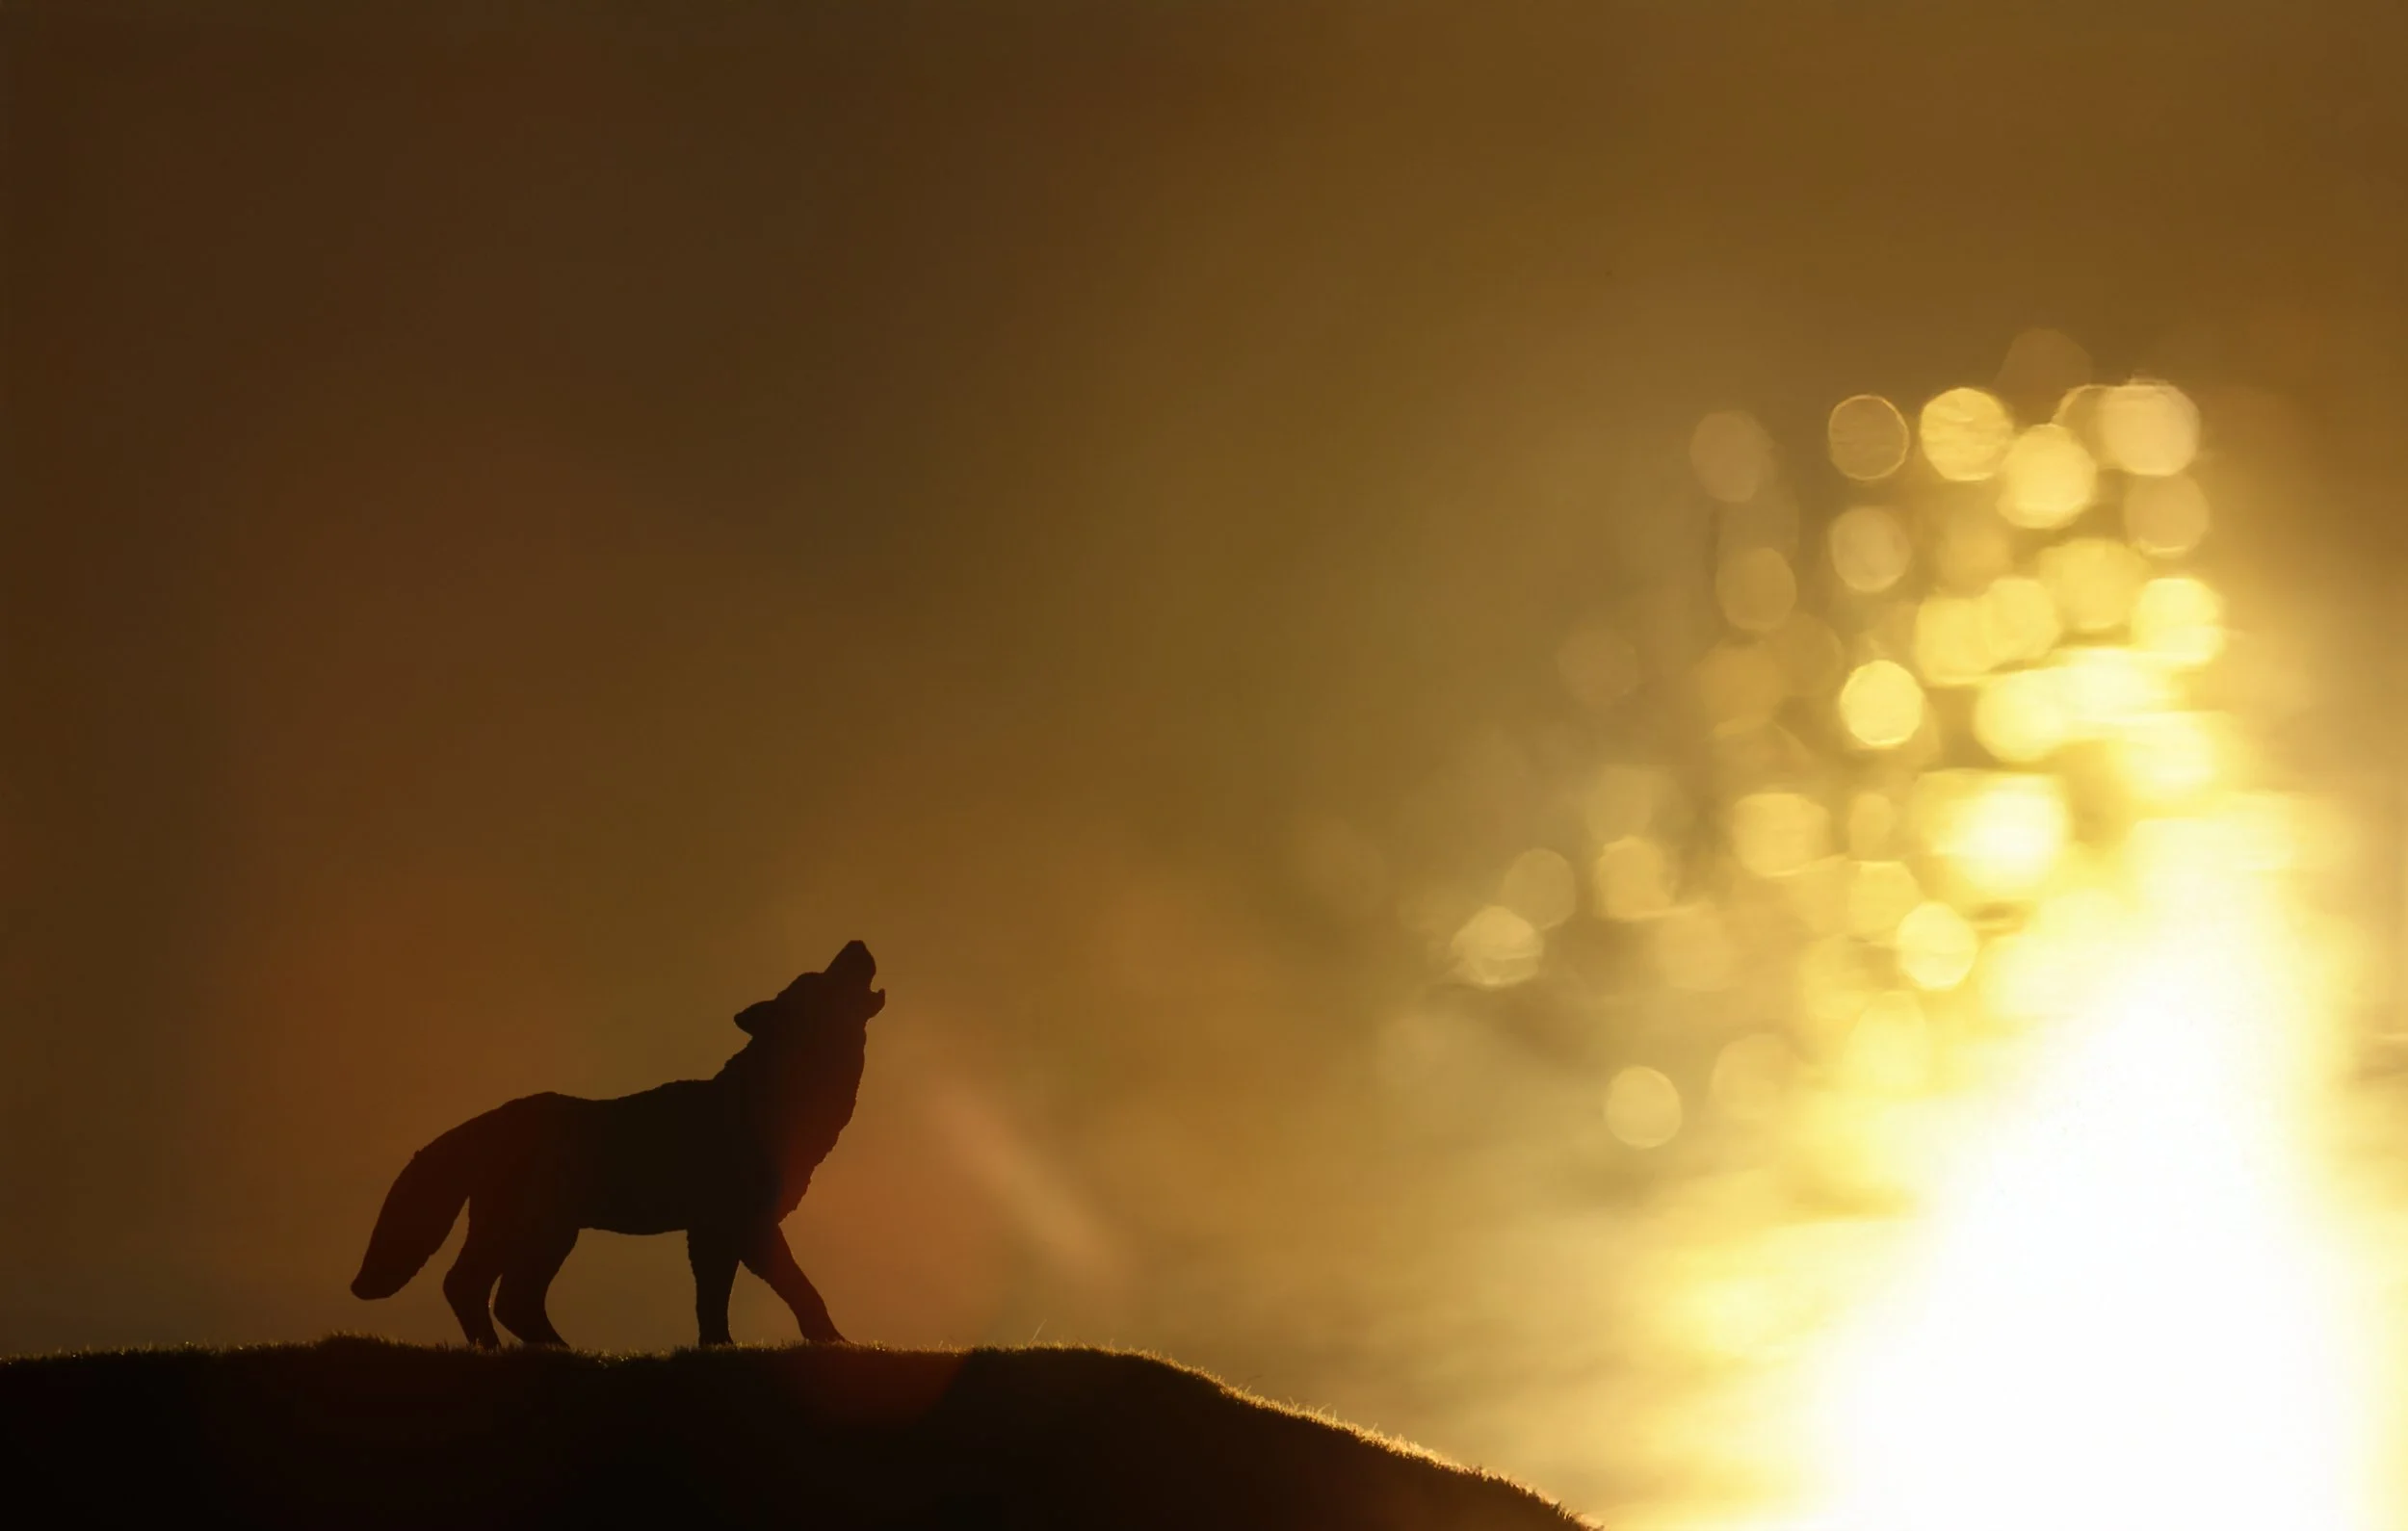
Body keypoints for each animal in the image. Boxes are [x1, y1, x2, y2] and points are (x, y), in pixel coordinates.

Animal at [351, 940, 884, 1348]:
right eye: (820, 980)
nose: (857, 942)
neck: (775, 1103)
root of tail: (487, 1120)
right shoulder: (742, 1224)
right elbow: (798, 1288)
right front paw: (833, 1341)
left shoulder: (711, 1231)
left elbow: (712, 1301)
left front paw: (718, 1348)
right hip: (536, 1229)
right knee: (472, 1287)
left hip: (549, 1234)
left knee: (505, 1298)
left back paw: (559, 1352)